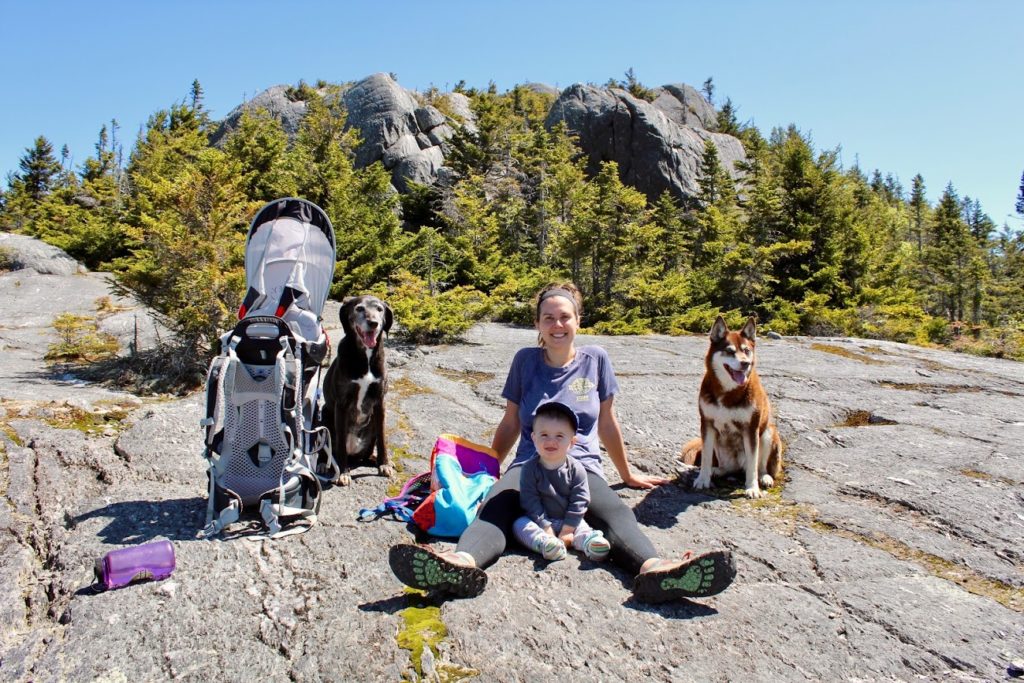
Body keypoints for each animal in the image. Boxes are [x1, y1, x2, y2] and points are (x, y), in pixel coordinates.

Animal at [325, 294, 393, 485]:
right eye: (359, 308)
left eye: (380, 309)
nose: (373, 323)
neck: (365, 356)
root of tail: (353, 453)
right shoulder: (341, 404)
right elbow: (340, 443)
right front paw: (343, 472)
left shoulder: (380, 403)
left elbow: (383, 439)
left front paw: (384, 464)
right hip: (324, 415)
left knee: (368, 452)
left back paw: (375, 460)